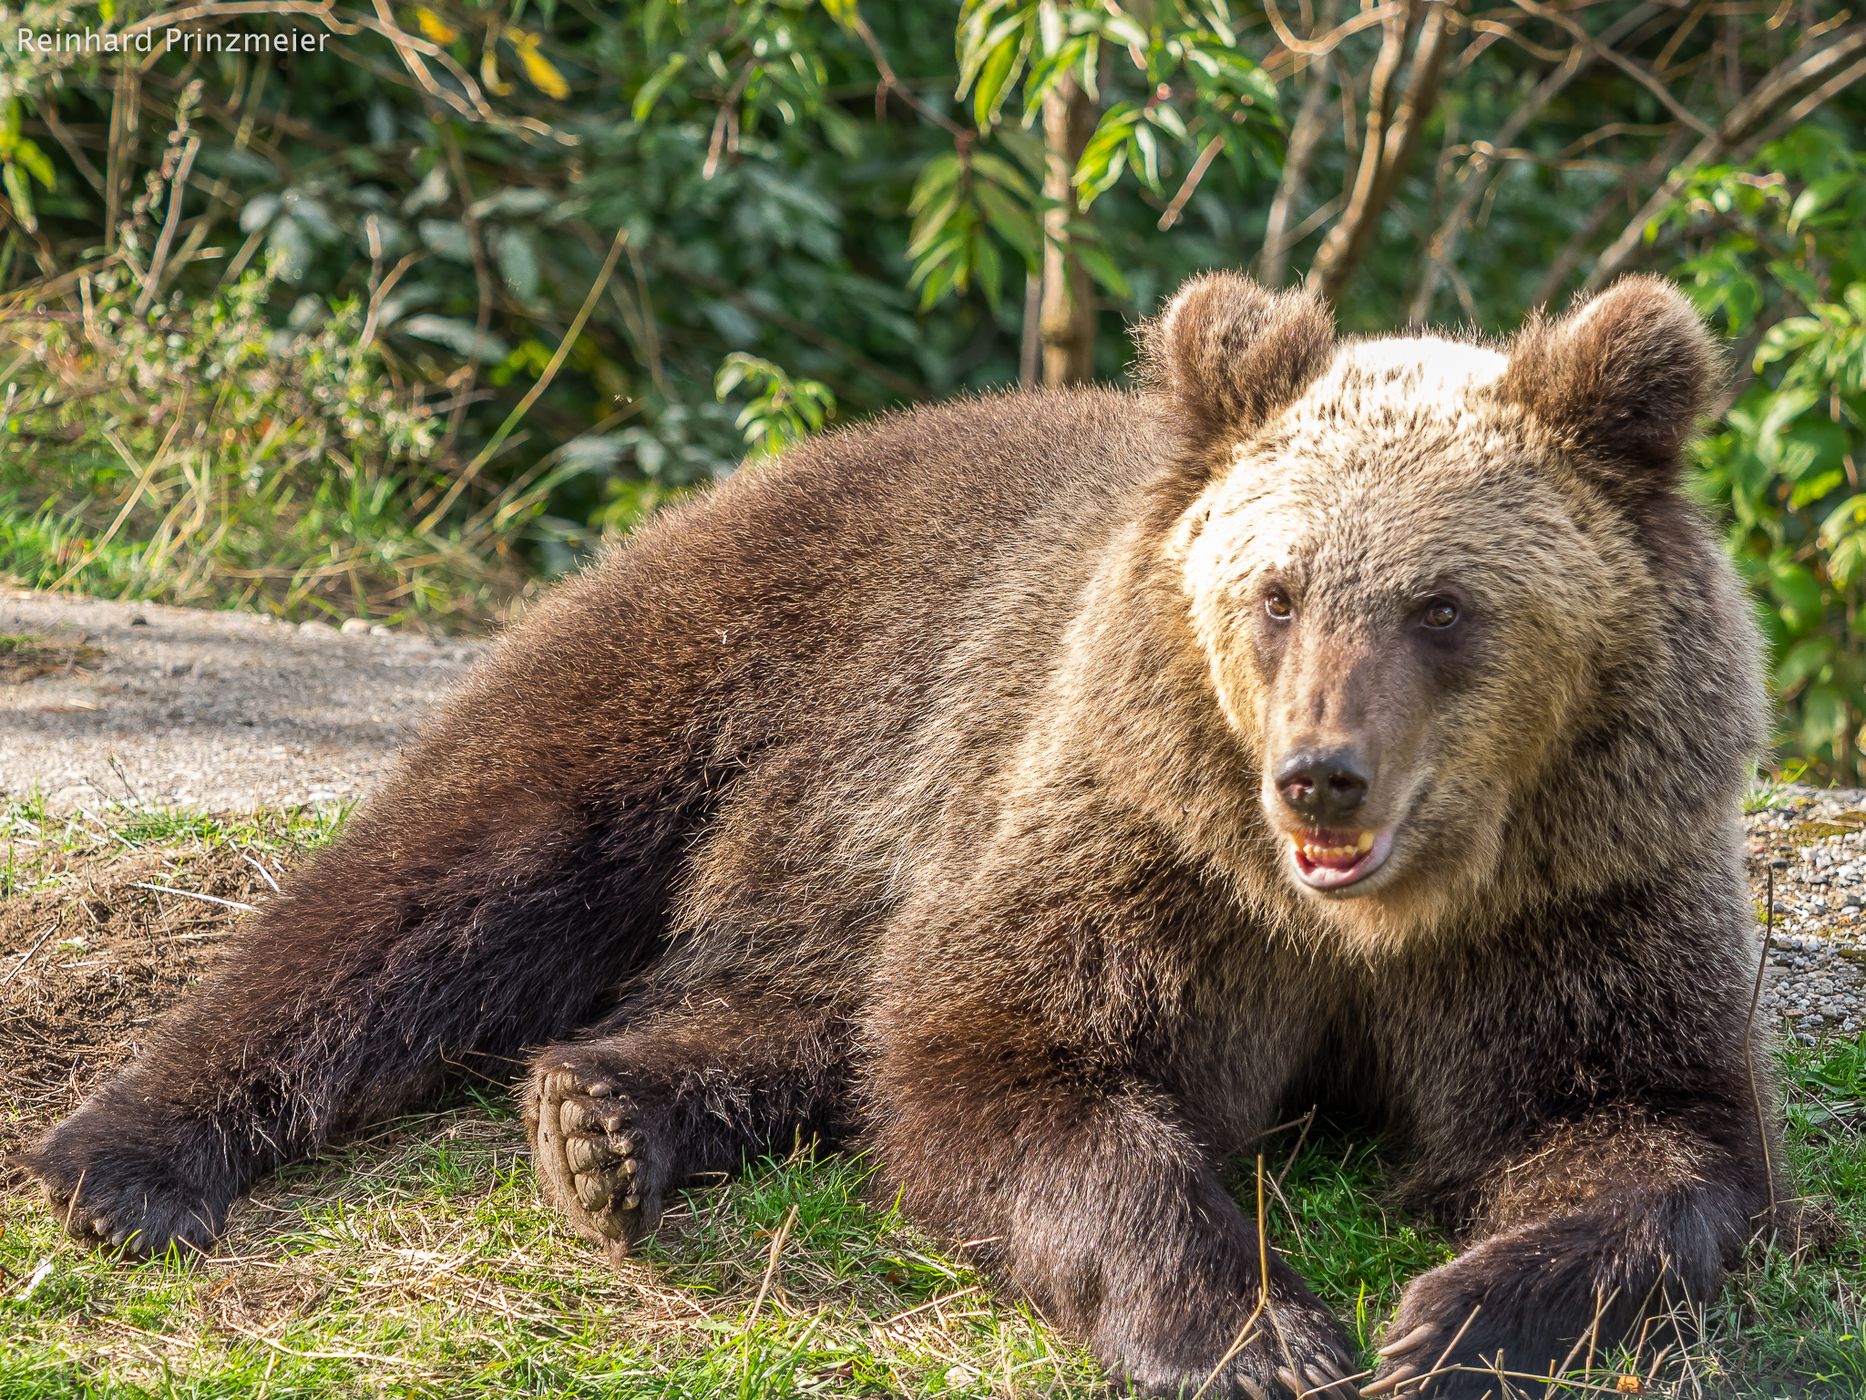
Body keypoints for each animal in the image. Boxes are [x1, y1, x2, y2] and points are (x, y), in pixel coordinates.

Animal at [27, 271, 1779, 1399]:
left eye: (1442, 604)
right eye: (1277, 591)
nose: (1317, 778)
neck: (1354, 925)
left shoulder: (1574, 909)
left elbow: (1642, 1125)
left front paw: (1458, 1318)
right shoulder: (1139, 851)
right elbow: (1009, 1067)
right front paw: (1256, 1336)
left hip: (875, 830)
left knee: (812, 1016)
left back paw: (603, 1120)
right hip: (736, 670)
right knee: (441, 880)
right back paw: (128, 1160)